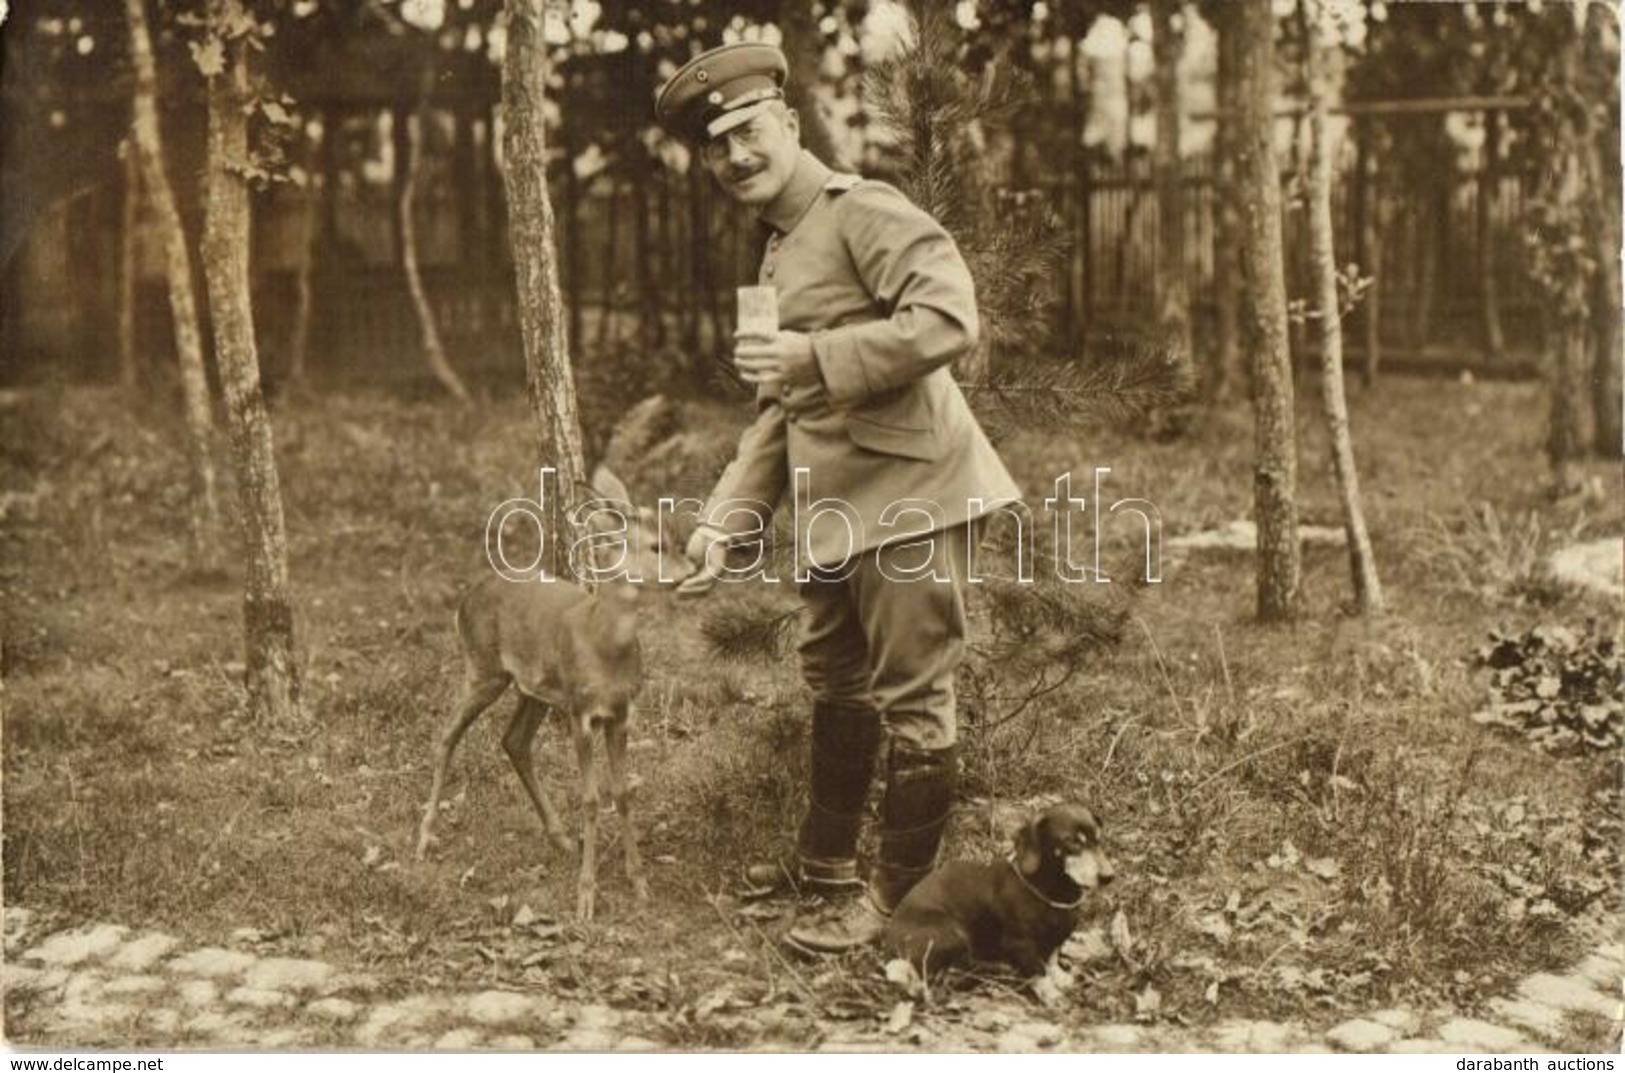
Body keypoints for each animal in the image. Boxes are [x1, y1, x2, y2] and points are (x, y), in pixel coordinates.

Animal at [884, 806, 1111, 988]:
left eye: (1099, 839)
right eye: (1072, 842)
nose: (1109, 876)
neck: (1047, 892)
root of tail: (890, 942)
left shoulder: (1057, 937)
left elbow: (1052, 958)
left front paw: (1060, 978)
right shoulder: (1020, 944)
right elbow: (1038, 972)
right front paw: (1051, 995)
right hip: (951, 931)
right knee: (959, 970)